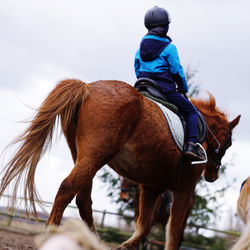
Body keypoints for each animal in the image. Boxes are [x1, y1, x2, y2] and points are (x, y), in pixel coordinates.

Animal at [0, 80, 240, 250]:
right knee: (67, 189)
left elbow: (144, 225)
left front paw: (125, 246)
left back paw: (93, 240)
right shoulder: (185, 186)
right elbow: (172, 231)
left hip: (84, 156)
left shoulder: (151, 187)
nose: (213, 175)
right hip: (94, 156)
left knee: (83, 199)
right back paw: (52, 234)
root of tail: (87, 87)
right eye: (228, 142)